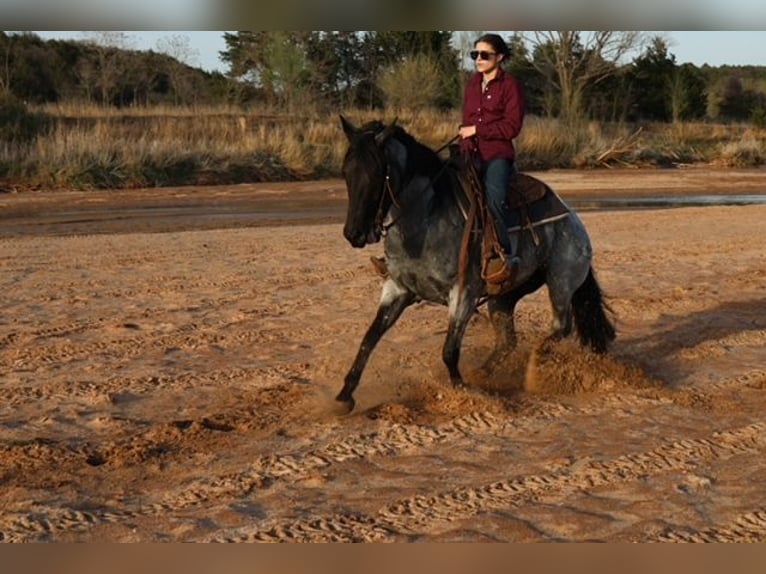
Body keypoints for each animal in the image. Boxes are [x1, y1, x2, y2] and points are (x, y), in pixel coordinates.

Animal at [336, 115, 615, 412]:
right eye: (346, 172)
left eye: (377, 174)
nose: (353, 234)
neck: (426, 220)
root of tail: (573, 219)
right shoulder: (397, 290)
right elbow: (369, 339)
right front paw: (344, 396)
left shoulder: (463, 293)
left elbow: (449, 350)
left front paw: (461, 390)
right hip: (503, 296)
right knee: (507, 342)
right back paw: (482, 373)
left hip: (561, 282)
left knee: (560, 327)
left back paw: (534, 364)